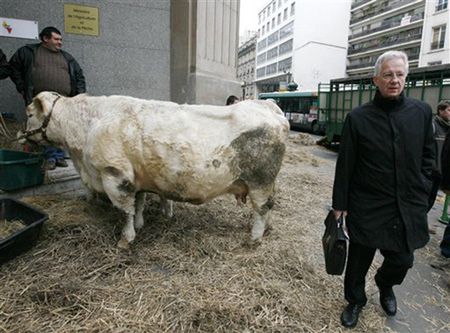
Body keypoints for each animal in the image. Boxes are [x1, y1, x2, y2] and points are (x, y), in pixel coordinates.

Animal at [24, 91, 290, 246]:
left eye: (28, 114)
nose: (22, 135)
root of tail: (268, 106)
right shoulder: (136, 177)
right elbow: (139, 203)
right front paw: (140, 224)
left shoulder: (115, 175)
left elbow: (125, 210)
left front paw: (126, 239)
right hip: (268, 182)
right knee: (270, 206)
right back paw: (268, 229)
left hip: (260, 181)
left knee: (262, 208)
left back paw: (255, 238)